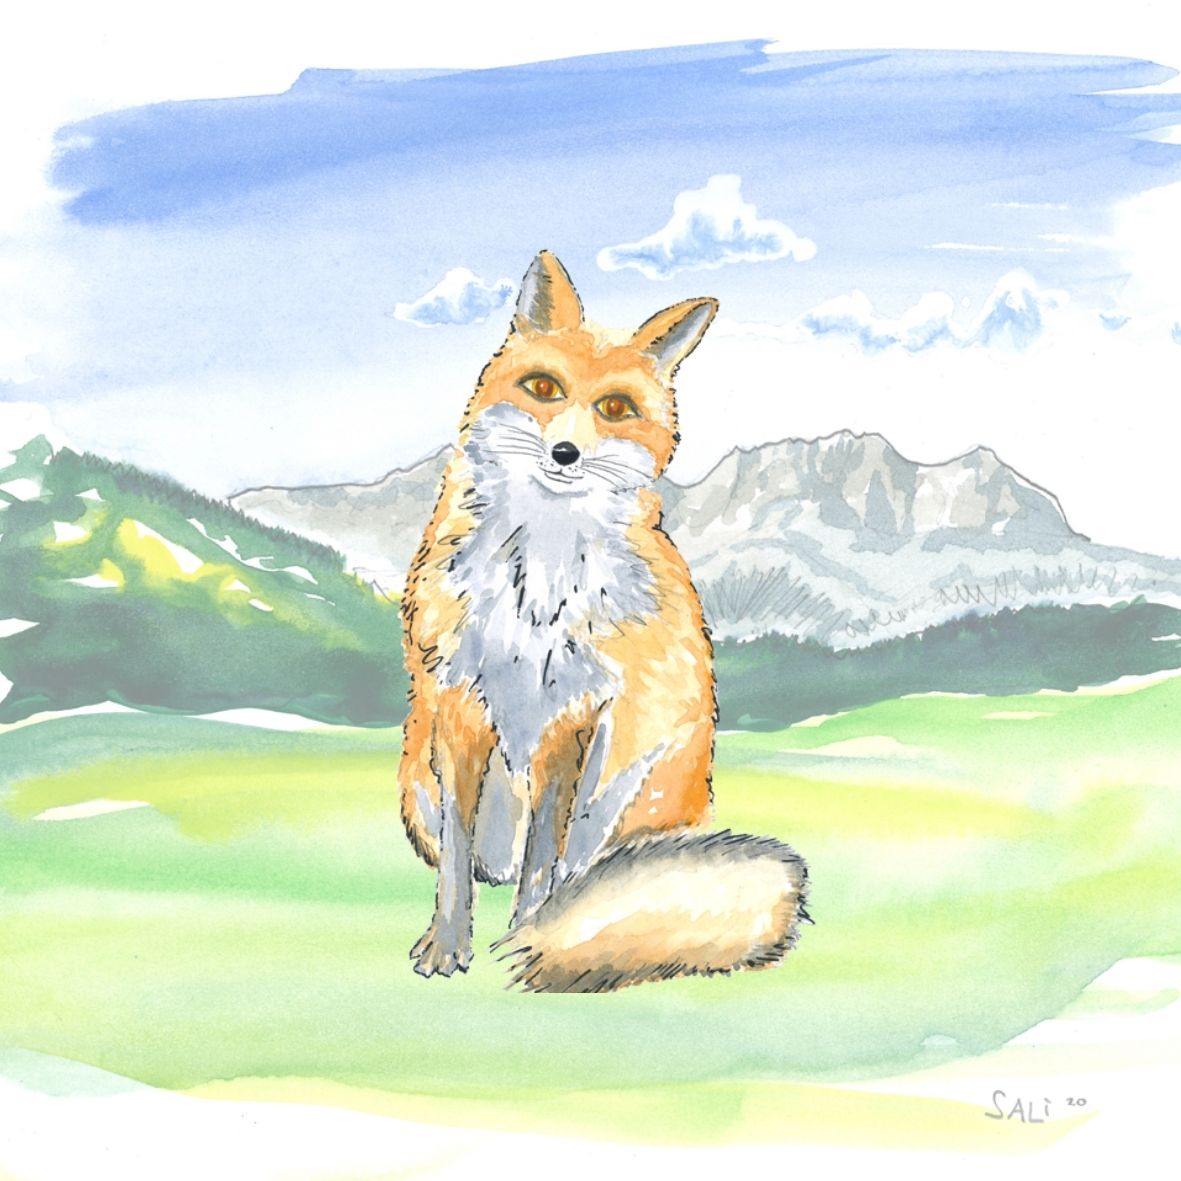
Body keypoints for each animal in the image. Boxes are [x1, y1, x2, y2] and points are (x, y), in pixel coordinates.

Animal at [398, 251, 808, 992]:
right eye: (543, 387)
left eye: (615, 408)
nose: (565, 454)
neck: (533, 586)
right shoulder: (459, 704)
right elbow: (455, 859)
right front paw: (446, 945)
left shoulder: (572, 719)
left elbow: (542, 862)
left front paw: (525, 934)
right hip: (418, 775)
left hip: (622, 783)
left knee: (575, 868)